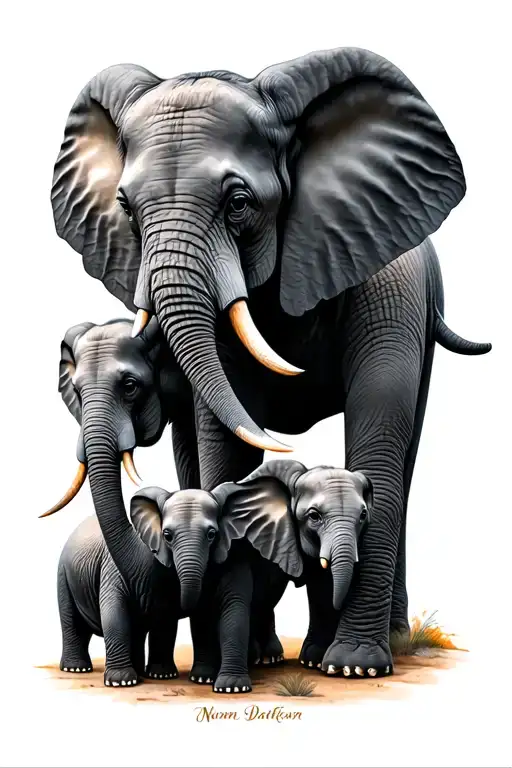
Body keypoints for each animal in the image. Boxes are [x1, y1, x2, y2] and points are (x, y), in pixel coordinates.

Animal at [56, 486, 220, 686]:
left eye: (212, 535)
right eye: (167, 536)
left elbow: (164, 622)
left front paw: (162, 676)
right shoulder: (112, 568)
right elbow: (114, 615)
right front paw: (121, 683)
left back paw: (140, 671)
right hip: (64, 576)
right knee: (72, 622)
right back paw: (77, 669)